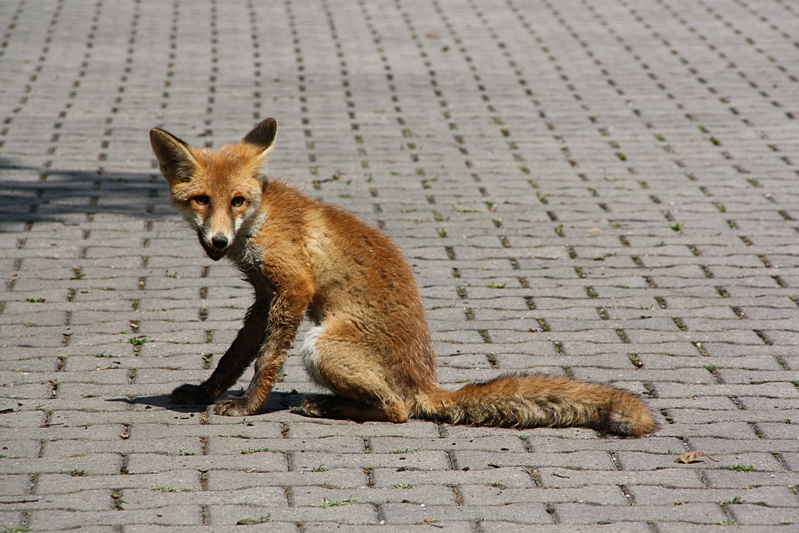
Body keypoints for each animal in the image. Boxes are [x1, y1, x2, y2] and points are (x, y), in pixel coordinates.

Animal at [148, 117, 656, 436]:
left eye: (237, 201)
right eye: (201, 200)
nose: (217, 242)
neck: (262, 218)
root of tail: (425, 381)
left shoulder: (292, 287)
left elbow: (265, 362)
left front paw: (247, 406)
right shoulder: (264, 295)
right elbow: (233, 356)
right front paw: (204, 391)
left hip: (321, 343)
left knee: (399, 410)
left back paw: (328, 406)